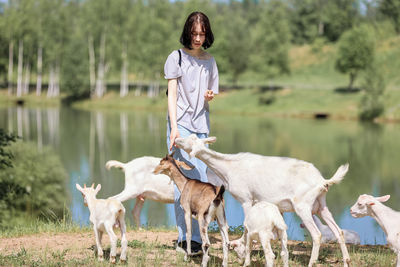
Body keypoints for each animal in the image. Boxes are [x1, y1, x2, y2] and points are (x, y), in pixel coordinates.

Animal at [177, 135, 352, 266]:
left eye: (192, 139)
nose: (177, 139)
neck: (229, 168)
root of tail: (323, 181)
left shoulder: (246, 199)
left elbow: (246, 227)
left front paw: (244, 255)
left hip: (303, 206)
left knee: (317, 235)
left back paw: (312, 263)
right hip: (321, 205)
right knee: (338, 231)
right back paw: (346, 261)